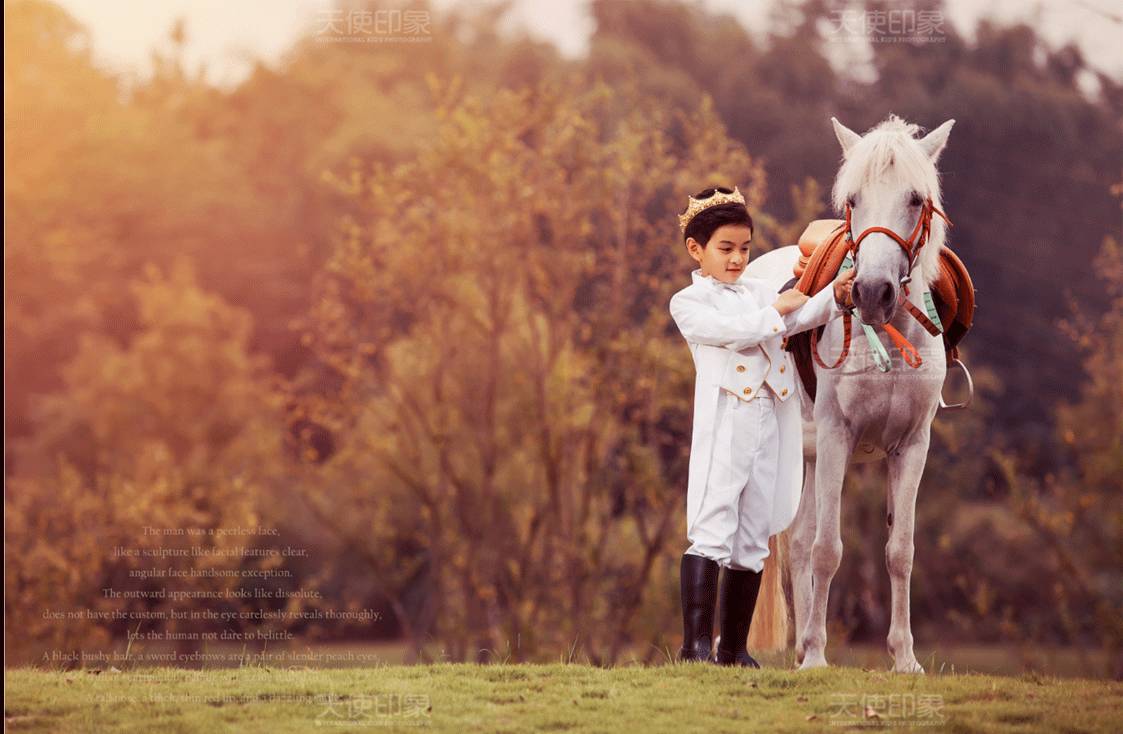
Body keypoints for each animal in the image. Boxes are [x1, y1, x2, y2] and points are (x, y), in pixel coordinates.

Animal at [745, 113, 956, 673]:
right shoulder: (838, 438)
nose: (871, 293)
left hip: (810, 458)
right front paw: (818, 656)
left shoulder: (912, 446)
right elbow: (828, 549)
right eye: (854, 199)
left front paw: (904, 658)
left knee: (797, 543)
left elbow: (900, 550)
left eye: (915, 198)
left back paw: (800, 646)